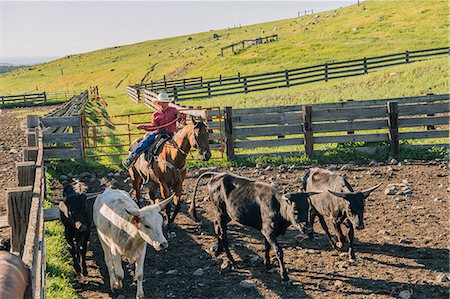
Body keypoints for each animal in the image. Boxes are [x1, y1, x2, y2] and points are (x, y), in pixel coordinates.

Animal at [190, 172, 320, 284]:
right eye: (295, 211)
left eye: (307, 208)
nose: (307, 228)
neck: (277, 206)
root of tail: (217, 175)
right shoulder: (269, 231)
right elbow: (278, 251)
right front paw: (285, 276)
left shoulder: (267, 232)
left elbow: (267, 247)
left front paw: (267, 265)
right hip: (220, 212)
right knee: (223, 234)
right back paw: (231, 260)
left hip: (227, 214)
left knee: (216, 226)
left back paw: (219, 249)